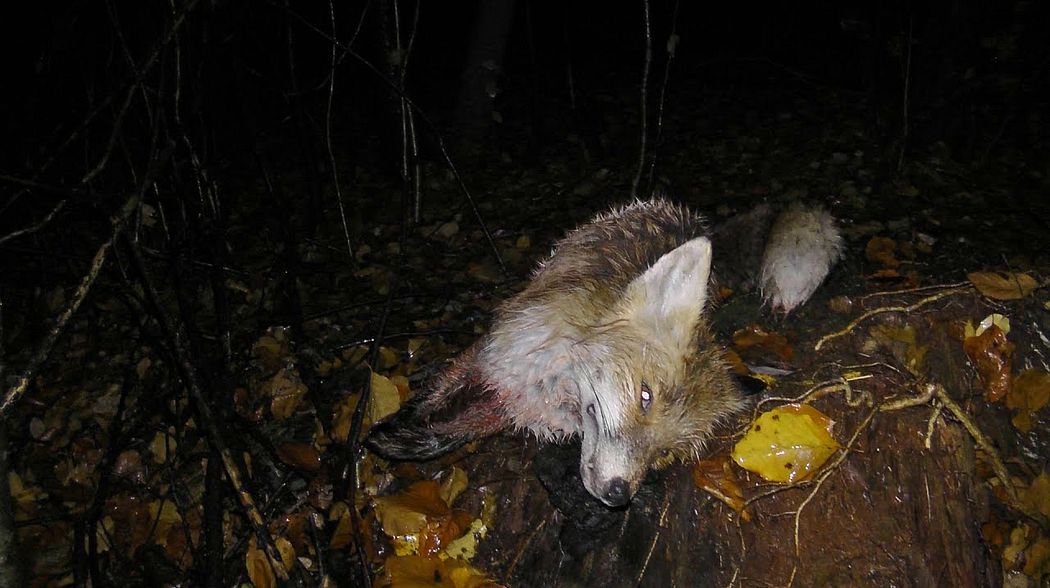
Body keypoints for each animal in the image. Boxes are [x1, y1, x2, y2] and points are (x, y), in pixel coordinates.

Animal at [367, 198, 842, 507]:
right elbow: (441, 402)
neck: (553, 392)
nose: (620, 494)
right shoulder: (496, 356)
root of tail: (692, 220)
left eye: (664, 453)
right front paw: (403, 430)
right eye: (645, 397)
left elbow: (467, 425)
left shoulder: (509, 400)